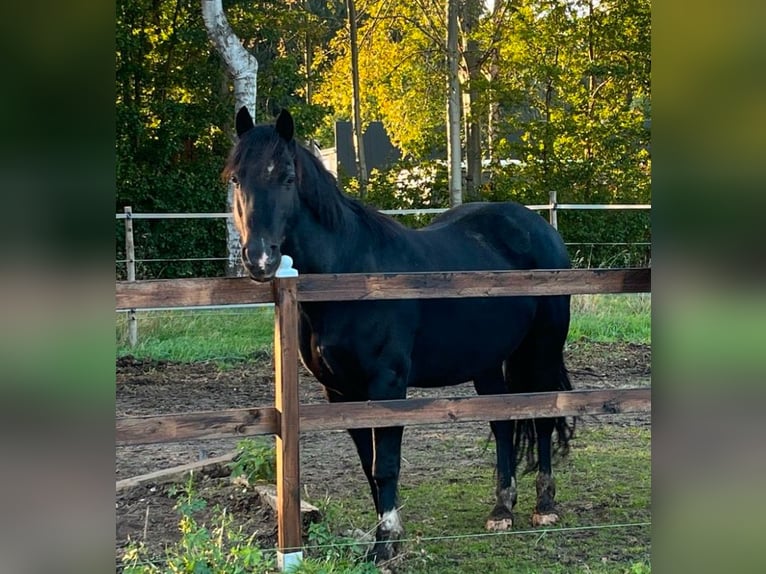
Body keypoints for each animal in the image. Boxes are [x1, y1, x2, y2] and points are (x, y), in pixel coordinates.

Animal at [228, 107, 576, 564]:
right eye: (237, 179)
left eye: (286, 177)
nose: (259, 259)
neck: (352, 275)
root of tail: (541, 228)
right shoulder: (341, 393)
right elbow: (368, 465)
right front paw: (388, 537)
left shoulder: (387, 384)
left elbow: (386, 465)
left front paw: (385, 542)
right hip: (486, 363)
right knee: (503, 424)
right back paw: (501, 509)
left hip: (541, 350)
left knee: (544, 419)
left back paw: (545, 505)